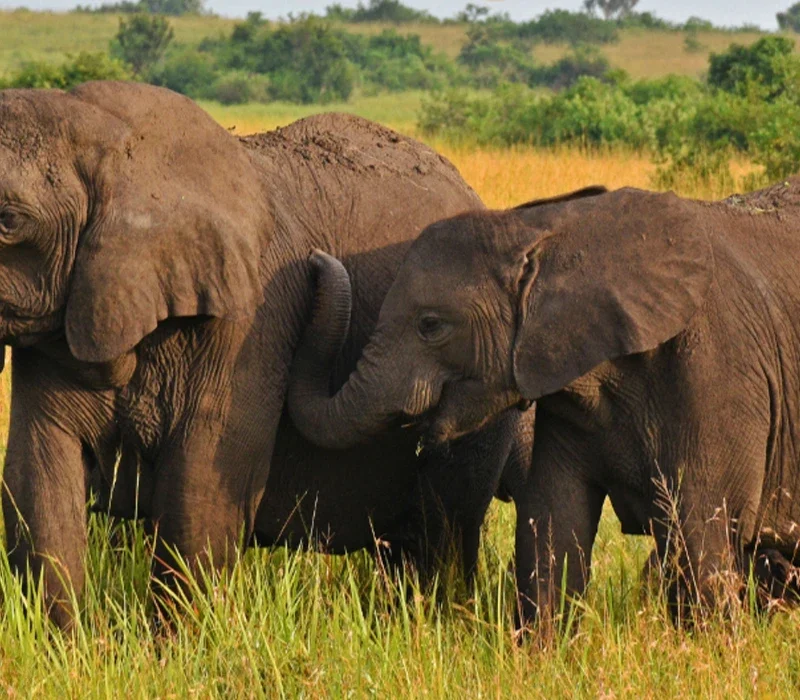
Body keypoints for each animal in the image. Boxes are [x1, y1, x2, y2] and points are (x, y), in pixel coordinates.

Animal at [0, 80, 520, 627]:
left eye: (8, 221)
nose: (319, 261)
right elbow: (39, 479)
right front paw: (70, 640)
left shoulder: (250, 321)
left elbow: (201, 495)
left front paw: (175, 643)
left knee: (440, 530)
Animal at [287, 180, 800, 628]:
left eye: (430, 325)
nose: (315, 259)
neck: (550, 233)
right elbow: (554, 523)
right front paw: (538, 655)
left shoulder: (722, 371)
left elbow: (700, 534)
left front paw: (710, 654)